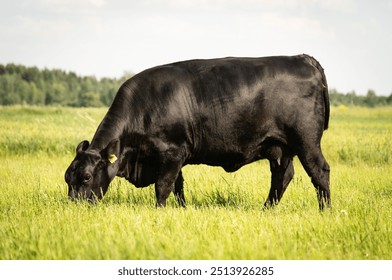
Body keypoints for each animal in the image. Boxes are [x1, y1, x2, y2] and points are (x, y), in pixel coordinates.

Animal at [65, 54, 330, 209]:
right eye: (67, 177)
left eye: (86, 177)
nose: (74, 207)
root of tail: (303, 58)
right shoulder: (175, 156)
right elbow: (178, 187)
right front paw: (182, 209)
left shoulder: (172, 152)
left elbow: (163, 186)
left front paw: (159, 211)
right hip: (280, 148)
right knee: (281, 177)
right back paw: (266, 209)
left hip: (306, 140)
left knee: (320, 172)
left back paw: (324, 210)